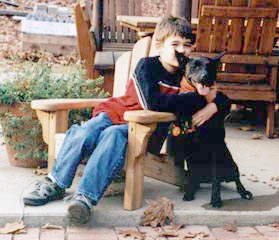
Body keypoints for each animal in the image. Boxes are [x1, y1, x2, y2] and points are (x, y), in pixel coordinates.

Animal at [168, 52, 254, 208]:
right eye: (194, 66)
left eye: (210, 67)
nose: (204, 77)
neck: (200, 100)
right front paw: (189, 193)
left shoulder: (214, 148)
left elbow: (216, 180)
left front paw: (216, 200)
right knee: (195, 177)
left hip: (230, 163)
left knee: (235, 179)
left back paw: (244, 192)